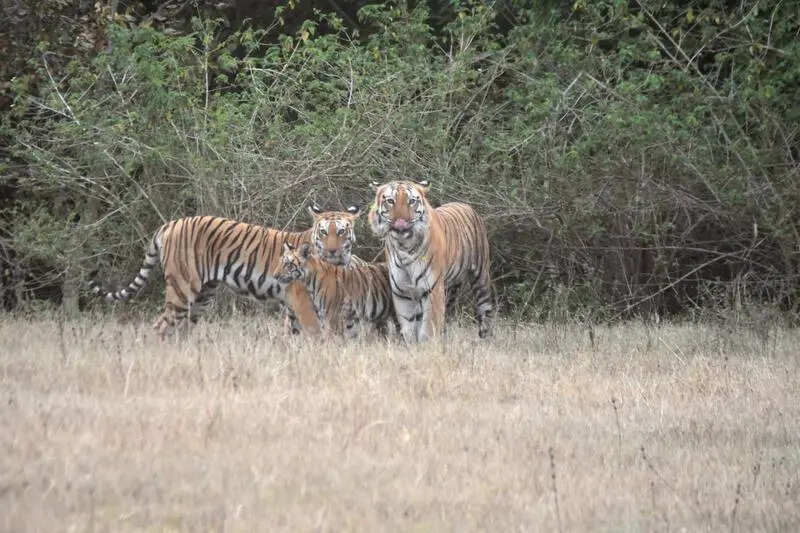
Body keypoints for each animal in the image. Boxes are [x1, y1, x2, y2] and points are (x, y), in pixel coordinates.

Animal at [90, 206, 363, 338]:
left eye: (341, 232)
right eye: (324, 232)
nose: (332, 250)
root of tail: (170, 224)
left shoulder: (294, 306)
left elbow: (294, 334)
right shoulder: (304, 303)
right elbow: (315, 332)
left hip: (201, 295)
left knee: (181, 327)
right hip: (182, 288)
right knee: (160, 326)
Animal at [368, 179, 493, 342]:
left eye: (411, 201)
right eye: (390, 201)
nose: (401, 223)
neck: (404, 247)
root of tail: (466, 205)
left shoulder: (432, 290)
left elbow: (428, 329)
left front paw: (428, 345)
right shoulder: (402, 292)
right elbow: (408, 328)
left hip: (480, 276)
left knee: (485, 309)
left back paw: (486, 339)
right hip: (449, 288)